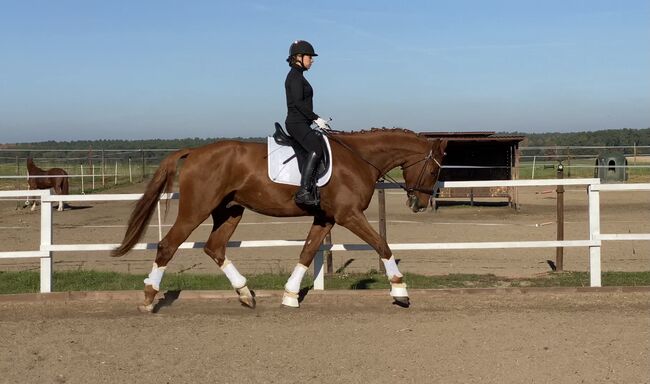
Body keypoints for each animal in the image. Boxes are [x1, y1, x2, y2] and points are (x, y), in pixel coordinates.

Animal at [111, 129, 446, 312]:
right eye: (433, 170)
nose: (419, 204)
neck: (358, 159)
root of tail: (195, 152)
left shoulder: (326, 218)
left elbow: (307, 252)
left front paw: (289, 296)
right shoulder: (349, 215)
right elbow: (382, 245)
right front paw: (400, 292)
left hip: (231, 210)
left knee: (214, 247)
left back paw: (245, 294)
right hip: (196, 209)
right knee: (168, 245)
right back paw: (149, 299)